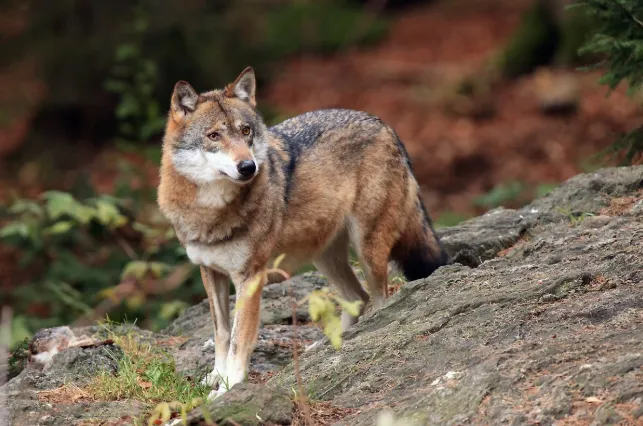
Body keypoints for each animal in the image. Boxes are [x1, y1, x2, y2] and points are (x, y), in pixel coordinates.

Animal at [157, 67, 449, 398]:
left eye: (245, 131)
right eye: (214, 136)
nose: (248, 167)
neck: (209, 211)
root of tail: (385, 125)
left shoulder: (250, 277)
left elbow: (238, 339)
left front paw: (229, 387)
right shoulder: (210, 271)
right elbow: (221, 333)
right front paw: (216, 376)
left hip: (366, 249)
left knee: (379, 298)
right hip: (325, 257)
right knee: (357, 297)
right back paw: (326, 345)